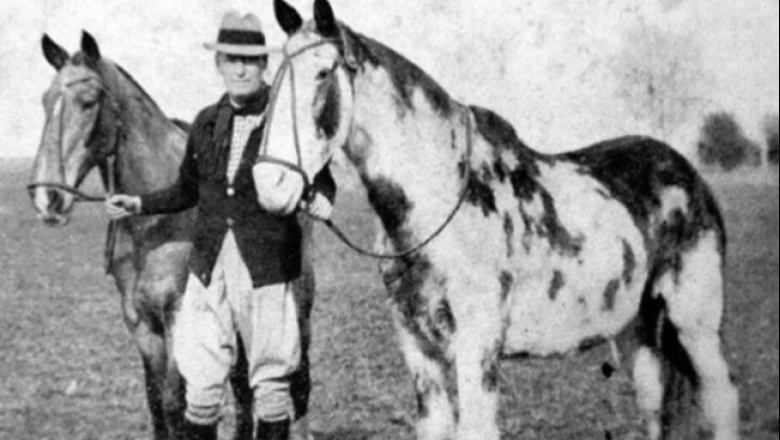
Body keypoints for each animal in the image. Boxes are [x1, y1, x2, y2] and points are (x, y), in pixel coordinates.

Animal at [251, 1, 742, 439]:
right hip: (633, 328)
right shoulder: (417, 345)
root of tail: (688, 174)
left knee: (721, 400)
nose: (270, 182)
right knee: (655, 404)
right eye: (273, 79)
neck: (441, 198)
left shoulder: (477, 343)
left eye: (321, 73)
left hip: (694, 323)